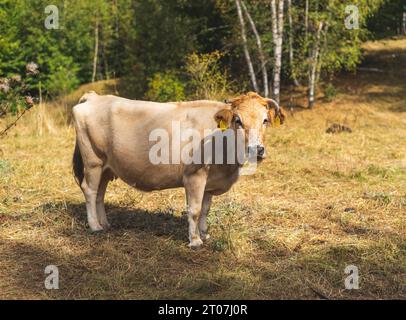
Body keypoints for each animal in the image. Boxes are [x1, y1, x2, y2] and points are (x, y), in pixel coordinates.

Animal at [71, 91, 284, 249]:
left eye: (265, 120)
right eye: (238, 120)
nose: (256, 149)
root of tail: (94, 96)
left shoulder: (210, 180)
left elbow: (205, 209)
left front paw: (205, 234)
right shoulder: (194, 176)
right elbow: (195, 210)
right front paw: (195, 240)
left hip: (107, 167)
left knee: (100, 194)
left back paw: (105, 224)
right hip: (93, 161)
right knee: (89, 190)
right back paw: (95, 226)